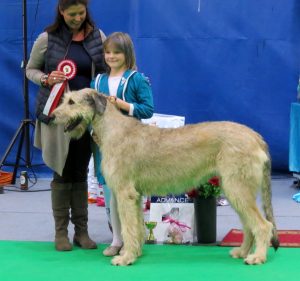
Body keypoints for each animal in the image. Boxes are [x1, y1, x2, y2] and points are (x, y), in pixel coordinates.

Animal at [51, 88, 278, 266]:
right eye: (65, 99)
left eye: (71, 102)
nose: (50, 116)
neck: (111, 128)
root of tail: (256, 136)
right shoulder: (135, 196)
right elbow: (135, 226)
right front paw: (134, 253)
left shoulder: (125, 193)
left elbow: (127, 227)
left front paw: (125, 258)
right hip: (235, 189)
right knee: (248, 224)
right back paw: (242, 252)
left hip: (237, 187)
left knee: (263, 225)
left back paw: (257, 256)